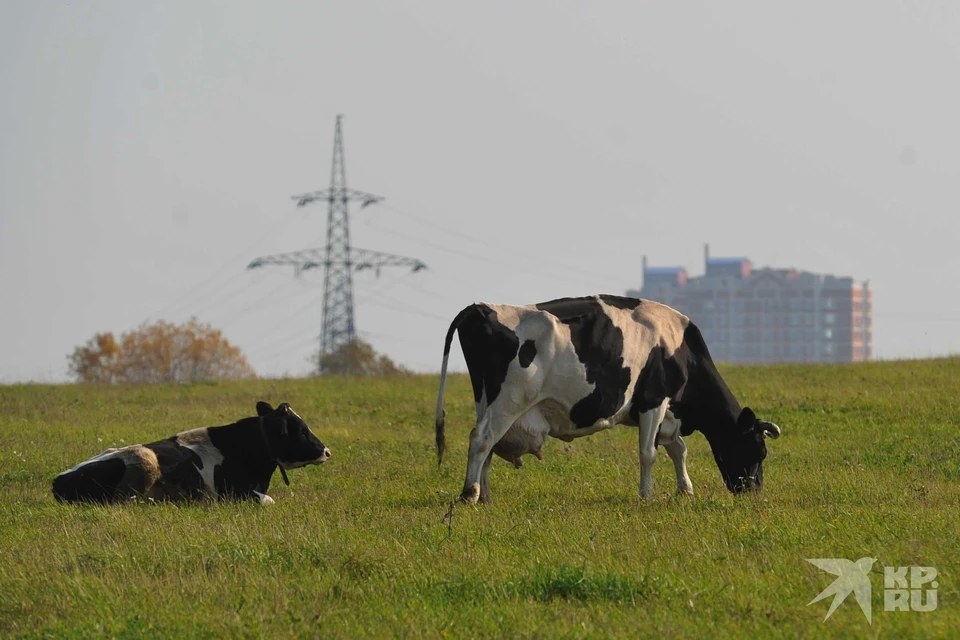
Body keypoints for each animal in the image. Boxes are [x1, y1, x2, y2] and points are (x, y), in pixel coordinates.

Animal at [51, 400, 330, 504]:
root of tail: (57, 480)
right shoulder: (232, 493)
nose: (327, 451)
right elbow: (267, 500)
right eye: (301, 429)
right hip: (144, 459)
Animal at [436, 296, 780, 504]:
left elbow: (677, 449)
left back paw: (485, 496)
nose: (754, 491)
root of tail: (482, 307)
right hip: (510, 398)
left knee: (488, 446)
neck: (680, 347)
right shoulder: (654, 400)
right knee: (481, 439)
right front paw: (646, 495)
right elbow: (648, 453)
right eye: (759, 451)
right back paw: (470, 494)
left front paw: (685, 490)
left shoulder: (668, 411)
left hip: (486, 399)